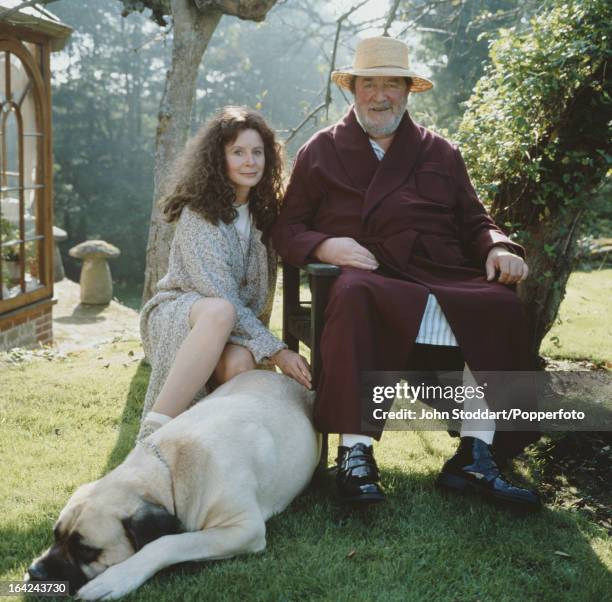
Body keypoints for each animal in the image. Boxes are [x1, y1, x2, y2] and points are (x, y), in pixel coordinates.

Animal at [23, 368, 320, 596]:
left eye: (86, 551)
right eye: (55, 535)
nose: (34, 572)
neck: (170, 469)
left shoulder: (244, 528)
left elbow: (169, 542)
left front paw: (116, 579)